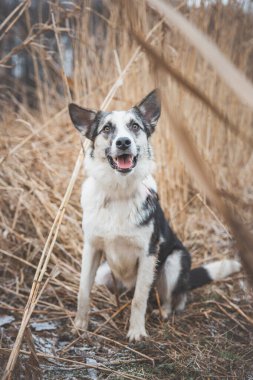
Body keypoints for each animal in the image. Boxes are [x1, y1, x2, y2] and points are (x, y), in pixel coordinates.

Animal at [68, 89, 240, 342]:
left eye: (134, 126)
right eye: (107, 128)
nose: (123, 142)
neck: (119, 192)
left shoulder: (148, 253)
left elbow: (139, 299)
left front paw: (136, 332)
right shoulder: (92, 248)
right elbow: (82, 291)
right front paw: (80, 325)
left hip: (173, 262)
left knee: (172, 298)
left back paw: (163, 312)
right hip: (104, 272)